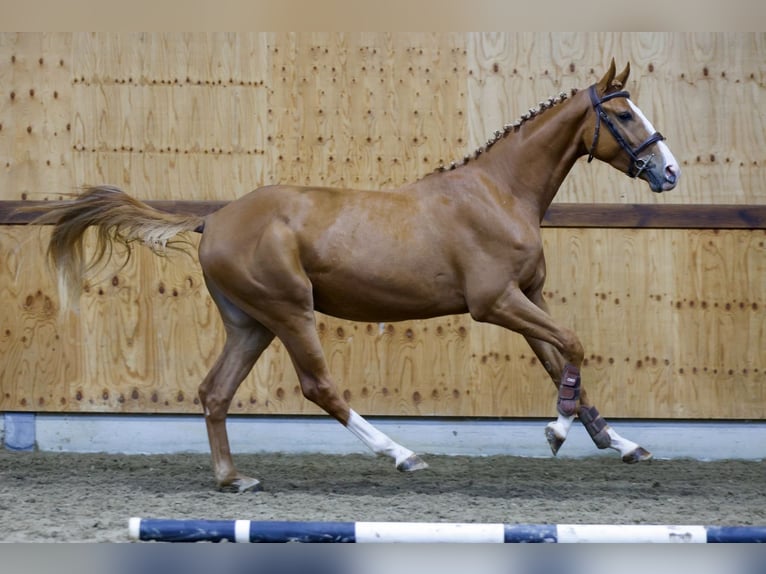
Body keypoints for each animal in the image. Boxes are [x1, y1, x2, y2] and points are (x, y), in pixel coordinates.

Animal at [30, 60, 680, 492]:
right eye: (623, 113)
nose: (669, 171)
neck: (500, 192)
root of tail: (212, 221)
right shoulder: (495, 301)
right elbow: (573, 344)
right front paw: (559, 433)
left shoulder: (527, 296)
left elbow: (562, 363)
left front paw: (617, 442)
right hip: (289, 311)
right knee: (320, 387)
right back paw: (402, 454)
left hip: (251, 323)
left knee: (215, 392)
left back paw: (233, 479)